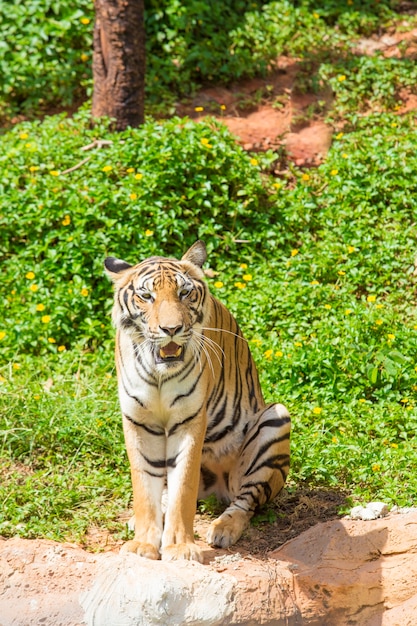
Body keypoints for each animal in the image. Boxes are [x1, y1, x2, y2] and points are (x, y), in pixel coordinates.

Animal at [105, 239, 290, 560]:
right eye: (146, 296)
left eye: (184, 292)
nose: (171, 330)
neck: (159, 373)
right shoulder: (138, 421)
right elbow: (144, 487)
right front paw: (143, 545)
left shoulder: (189, 420)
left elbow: (184, 488)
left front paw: (180, 547)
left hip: (275, 420)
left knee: (245, 502)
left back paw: (223, 529)